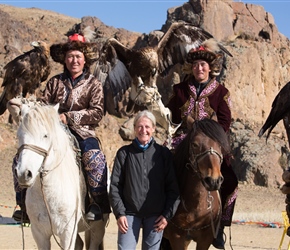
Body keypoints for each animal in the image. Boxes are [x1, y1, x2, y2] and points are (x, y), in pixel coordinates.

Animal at [13, 102, 107, 249]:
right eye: (19, 135)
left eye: (45, 135)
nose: (24, 173)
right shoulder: (39, 233)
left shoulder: (68, 232)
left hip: (97, 228)